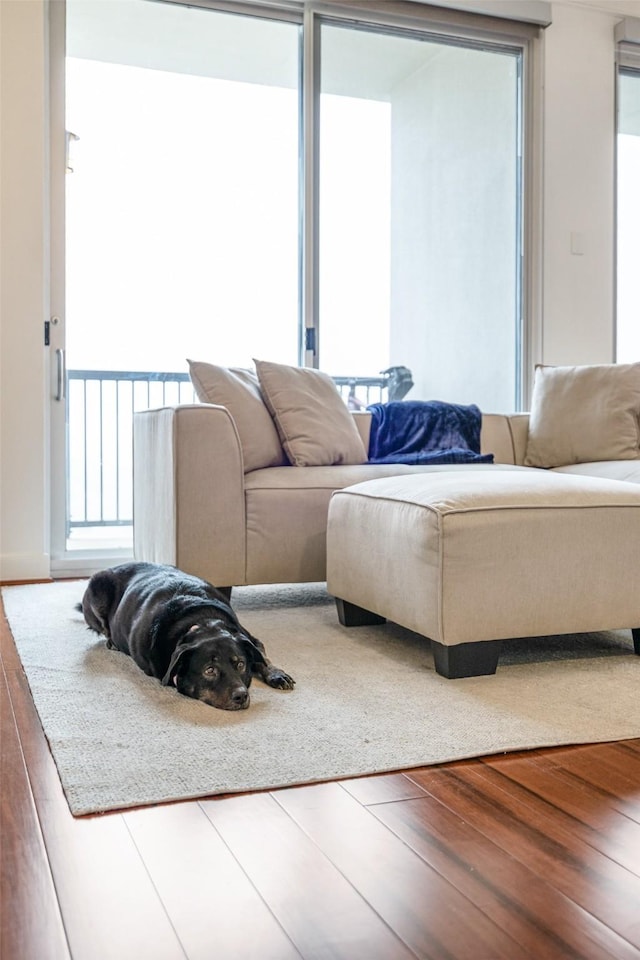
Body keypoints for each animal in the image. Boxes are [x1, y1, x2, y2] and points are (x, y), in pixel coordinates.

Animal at [77, 560, 296, 708]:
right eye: (209, 670)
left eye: (240, 665)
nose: (241, 696)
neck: (200, 622)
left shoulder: (248, 637)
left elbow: (263, 658)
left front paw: (276, 674)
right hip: (96, 589)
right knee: (104, 628)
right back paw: (111, 641)